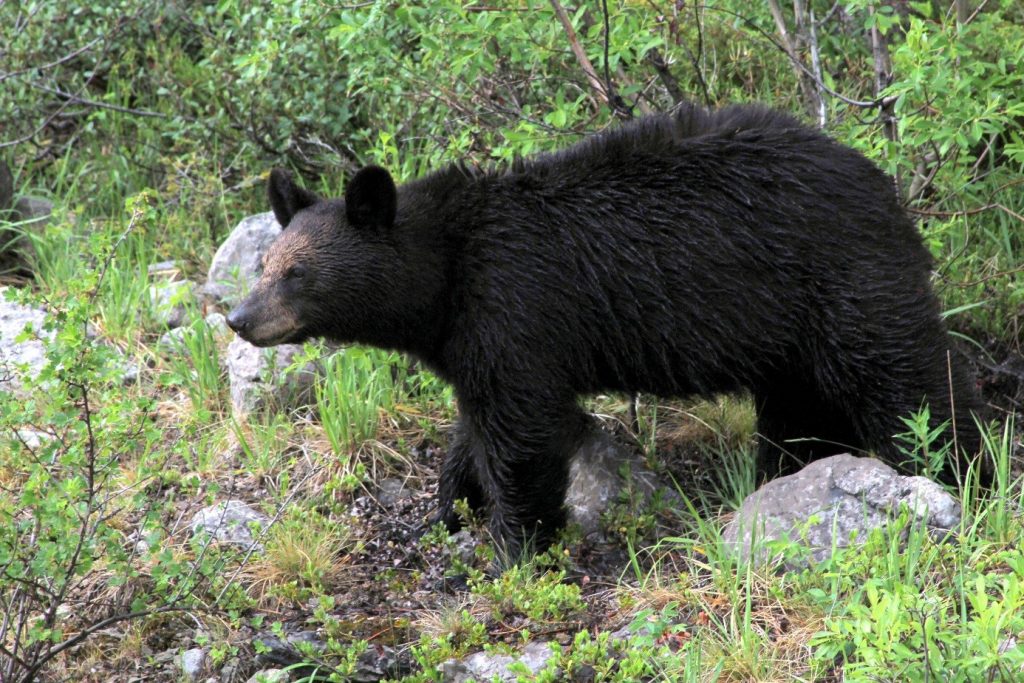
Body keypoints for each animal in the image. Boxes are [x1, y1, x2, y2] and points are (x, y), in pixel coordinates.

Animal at [230, 102, 983, 561]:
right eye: (265, 263)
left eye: (297, 272)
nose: (239, 318)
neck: (447, 274)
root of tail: (885, 188)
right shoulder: (476, 339)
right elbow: (474, 425)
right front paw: (448, 508)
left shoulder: (516, 307)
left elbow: (522, 434)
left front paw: (513, 545)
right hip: (789, 334)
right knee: (798, 408)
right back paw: (778, 476)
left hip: (842, 279)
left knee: (904, 379)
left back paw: (956, 470)